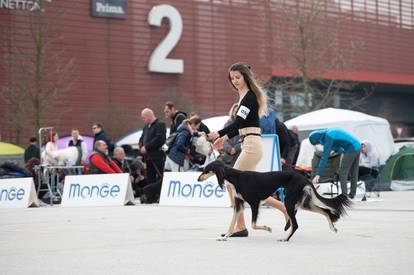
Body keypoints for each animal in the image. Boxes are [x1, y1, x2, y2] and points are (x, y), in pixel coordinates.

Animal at [196, 161, 350, 243]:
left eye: (206, 170)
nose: (198, 178)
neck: (236, 177)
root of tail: (304, 178)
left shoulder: (254, 202)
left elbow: (253, 224)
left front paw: (267, 228)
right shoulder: (239, 204)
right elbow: (231, 223)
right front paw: (225, 237)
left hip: (289, 201)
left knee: (296, 224)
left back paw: (285, 238)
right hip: (302, 202)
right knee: (324, 211)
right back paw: (333, 227)